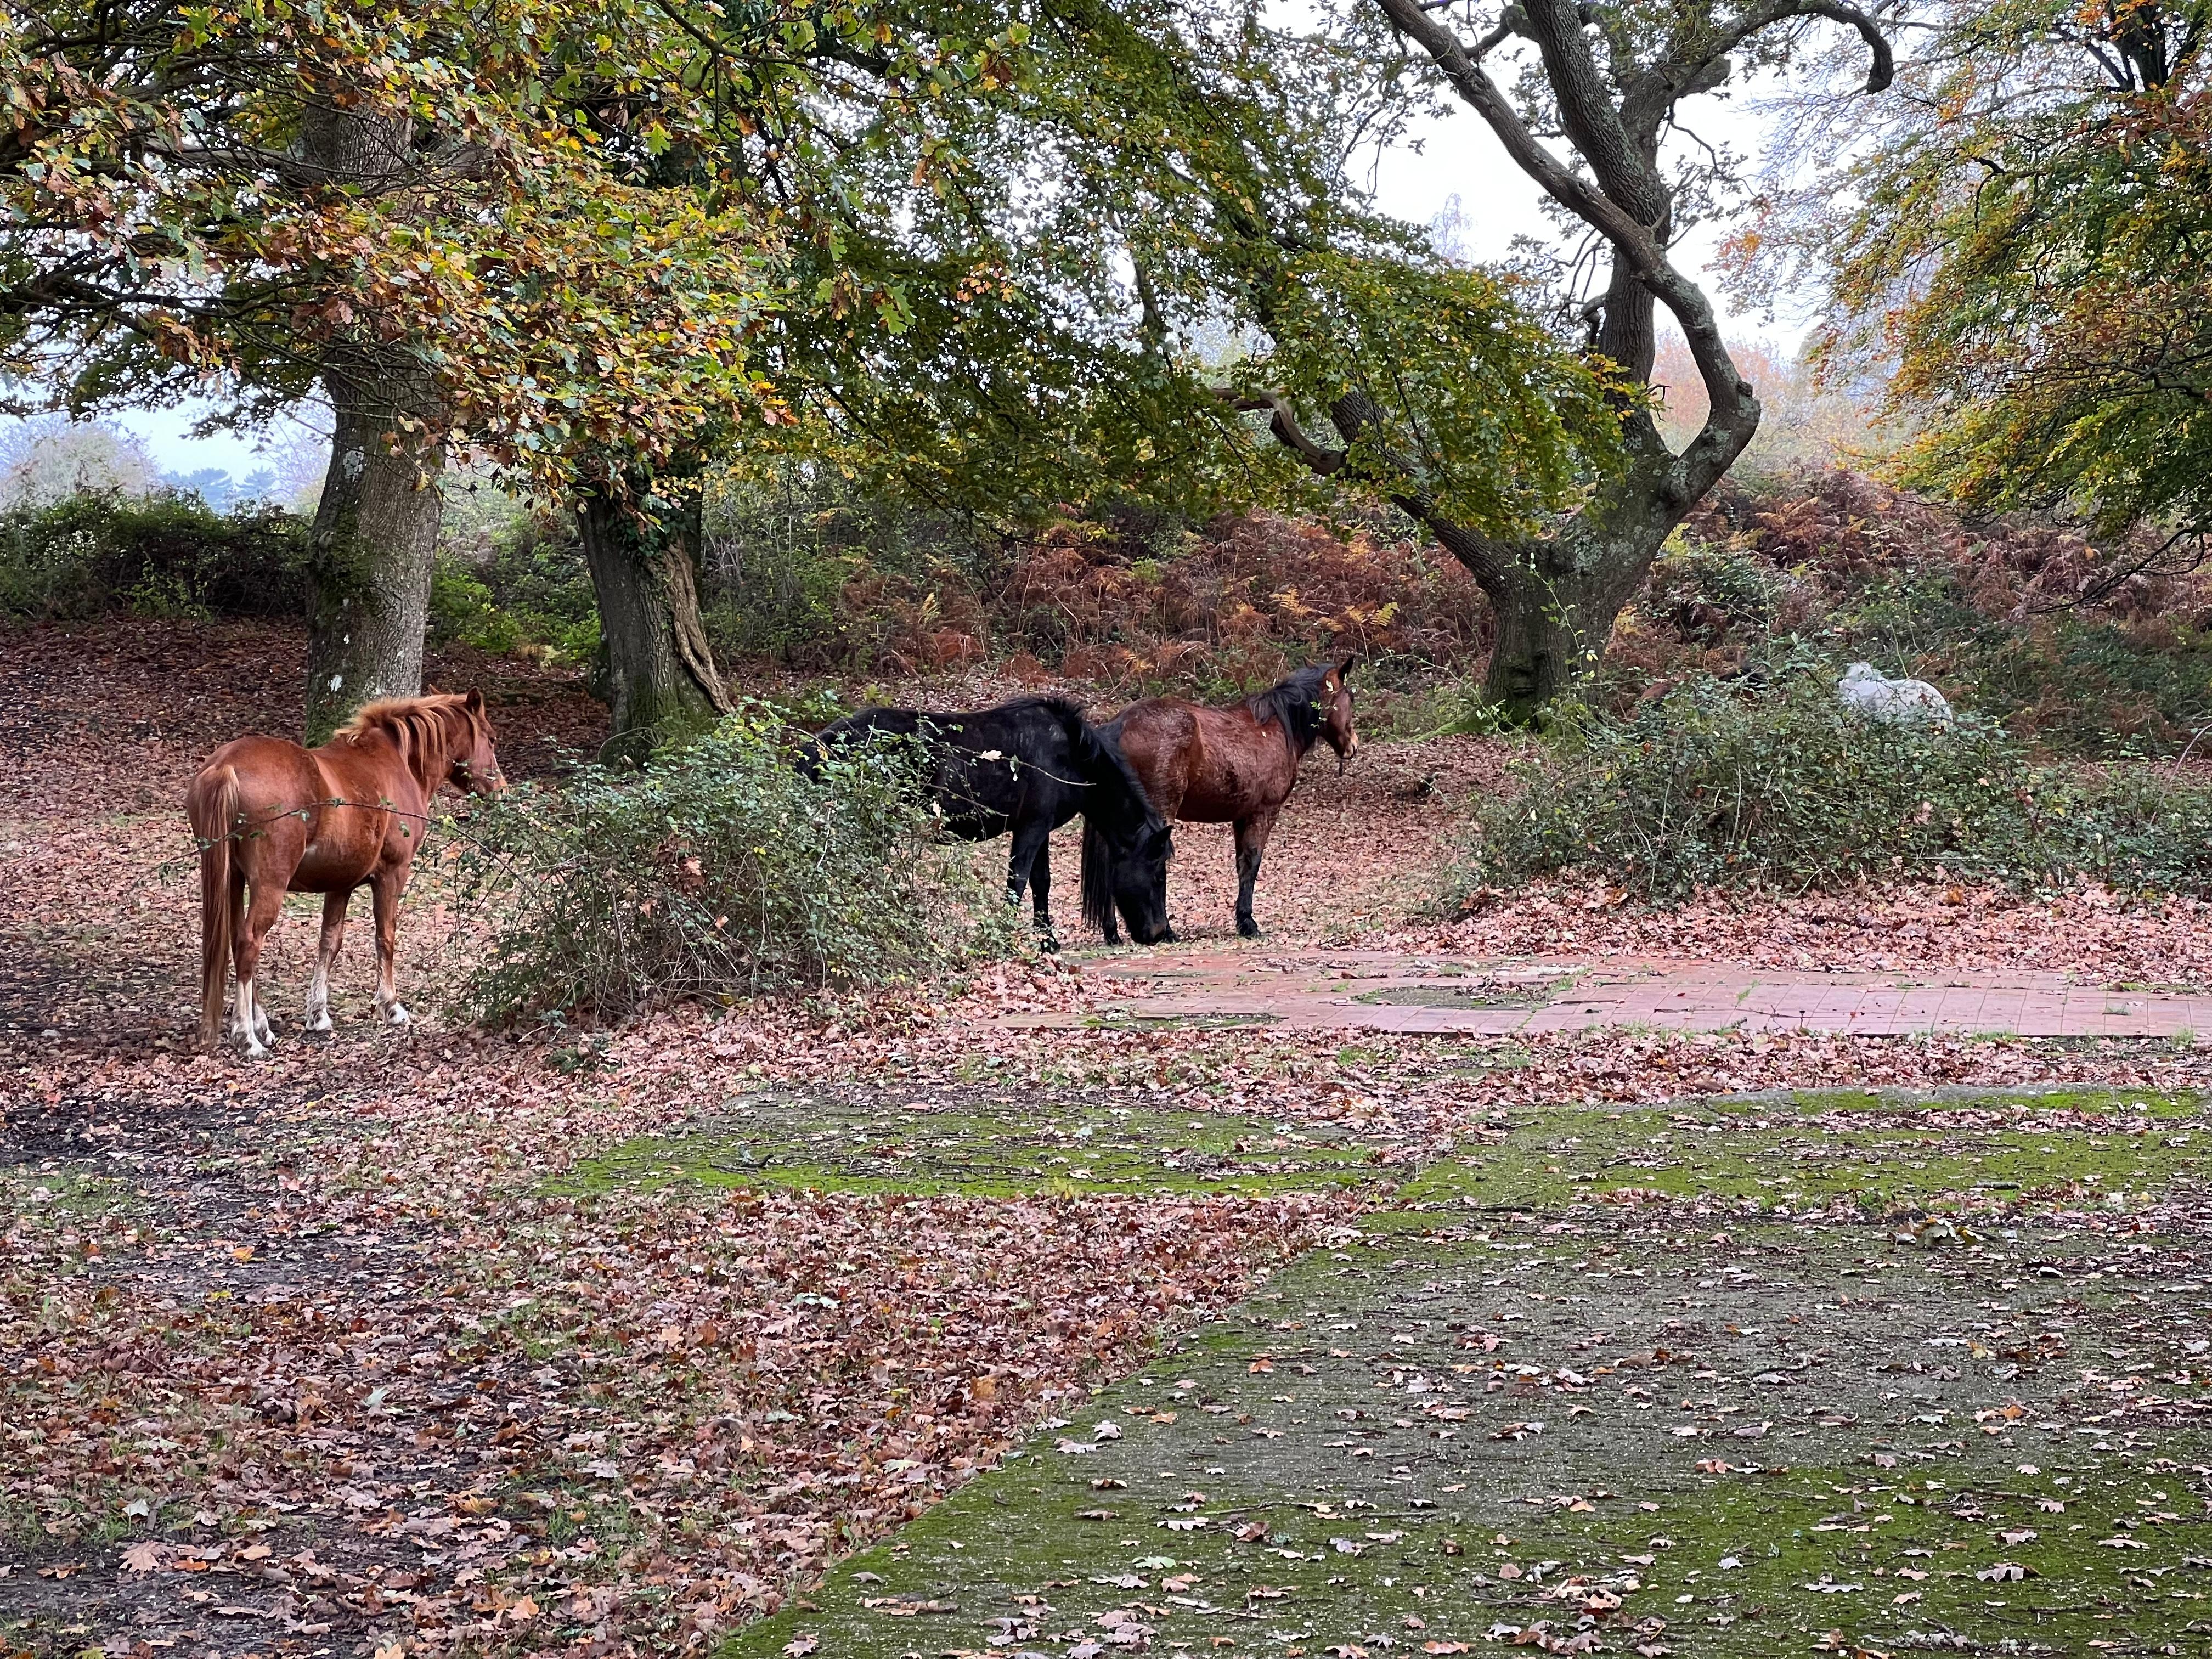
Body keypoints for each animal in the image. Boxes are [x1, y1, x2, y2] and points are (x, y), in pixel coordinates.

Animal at [183, 690, 504, 1057]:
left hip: (232, 880)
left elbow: (329, 943)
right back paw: (247, 1036)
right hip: (268, 885)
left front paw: (318, 1014)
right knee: (249, 943)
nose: (501, 789)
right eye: (491, 738)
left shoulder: (340, 884)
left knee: (238, 942)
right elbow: (385, 938)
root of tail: (226, 765)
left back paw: (261, 1026)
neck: (399, 764)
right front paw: (391, 1007)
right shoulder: (392, 875)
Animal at [800, 690, 1177, 946]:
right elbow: (1018, 883)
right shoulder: (1032, 828)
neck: (1071, 754)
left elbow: (1041, 883)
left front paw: (1048, 942)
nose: (1158, 933)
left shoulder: (1038, 829)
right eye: (1159, 876)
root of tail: (821, 743)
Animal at [1092, 668, 1353, 946]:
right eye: (1350, 697)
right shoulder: (1263, 813)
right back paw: (1165, 932)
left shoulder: (1241, 817)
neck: (1275, 727)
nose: (1352, 746)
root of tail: (1120, 724)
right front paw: (1248, 923)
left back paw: (1112, 933)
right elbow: (1252, 864)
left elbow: (1242, 865)